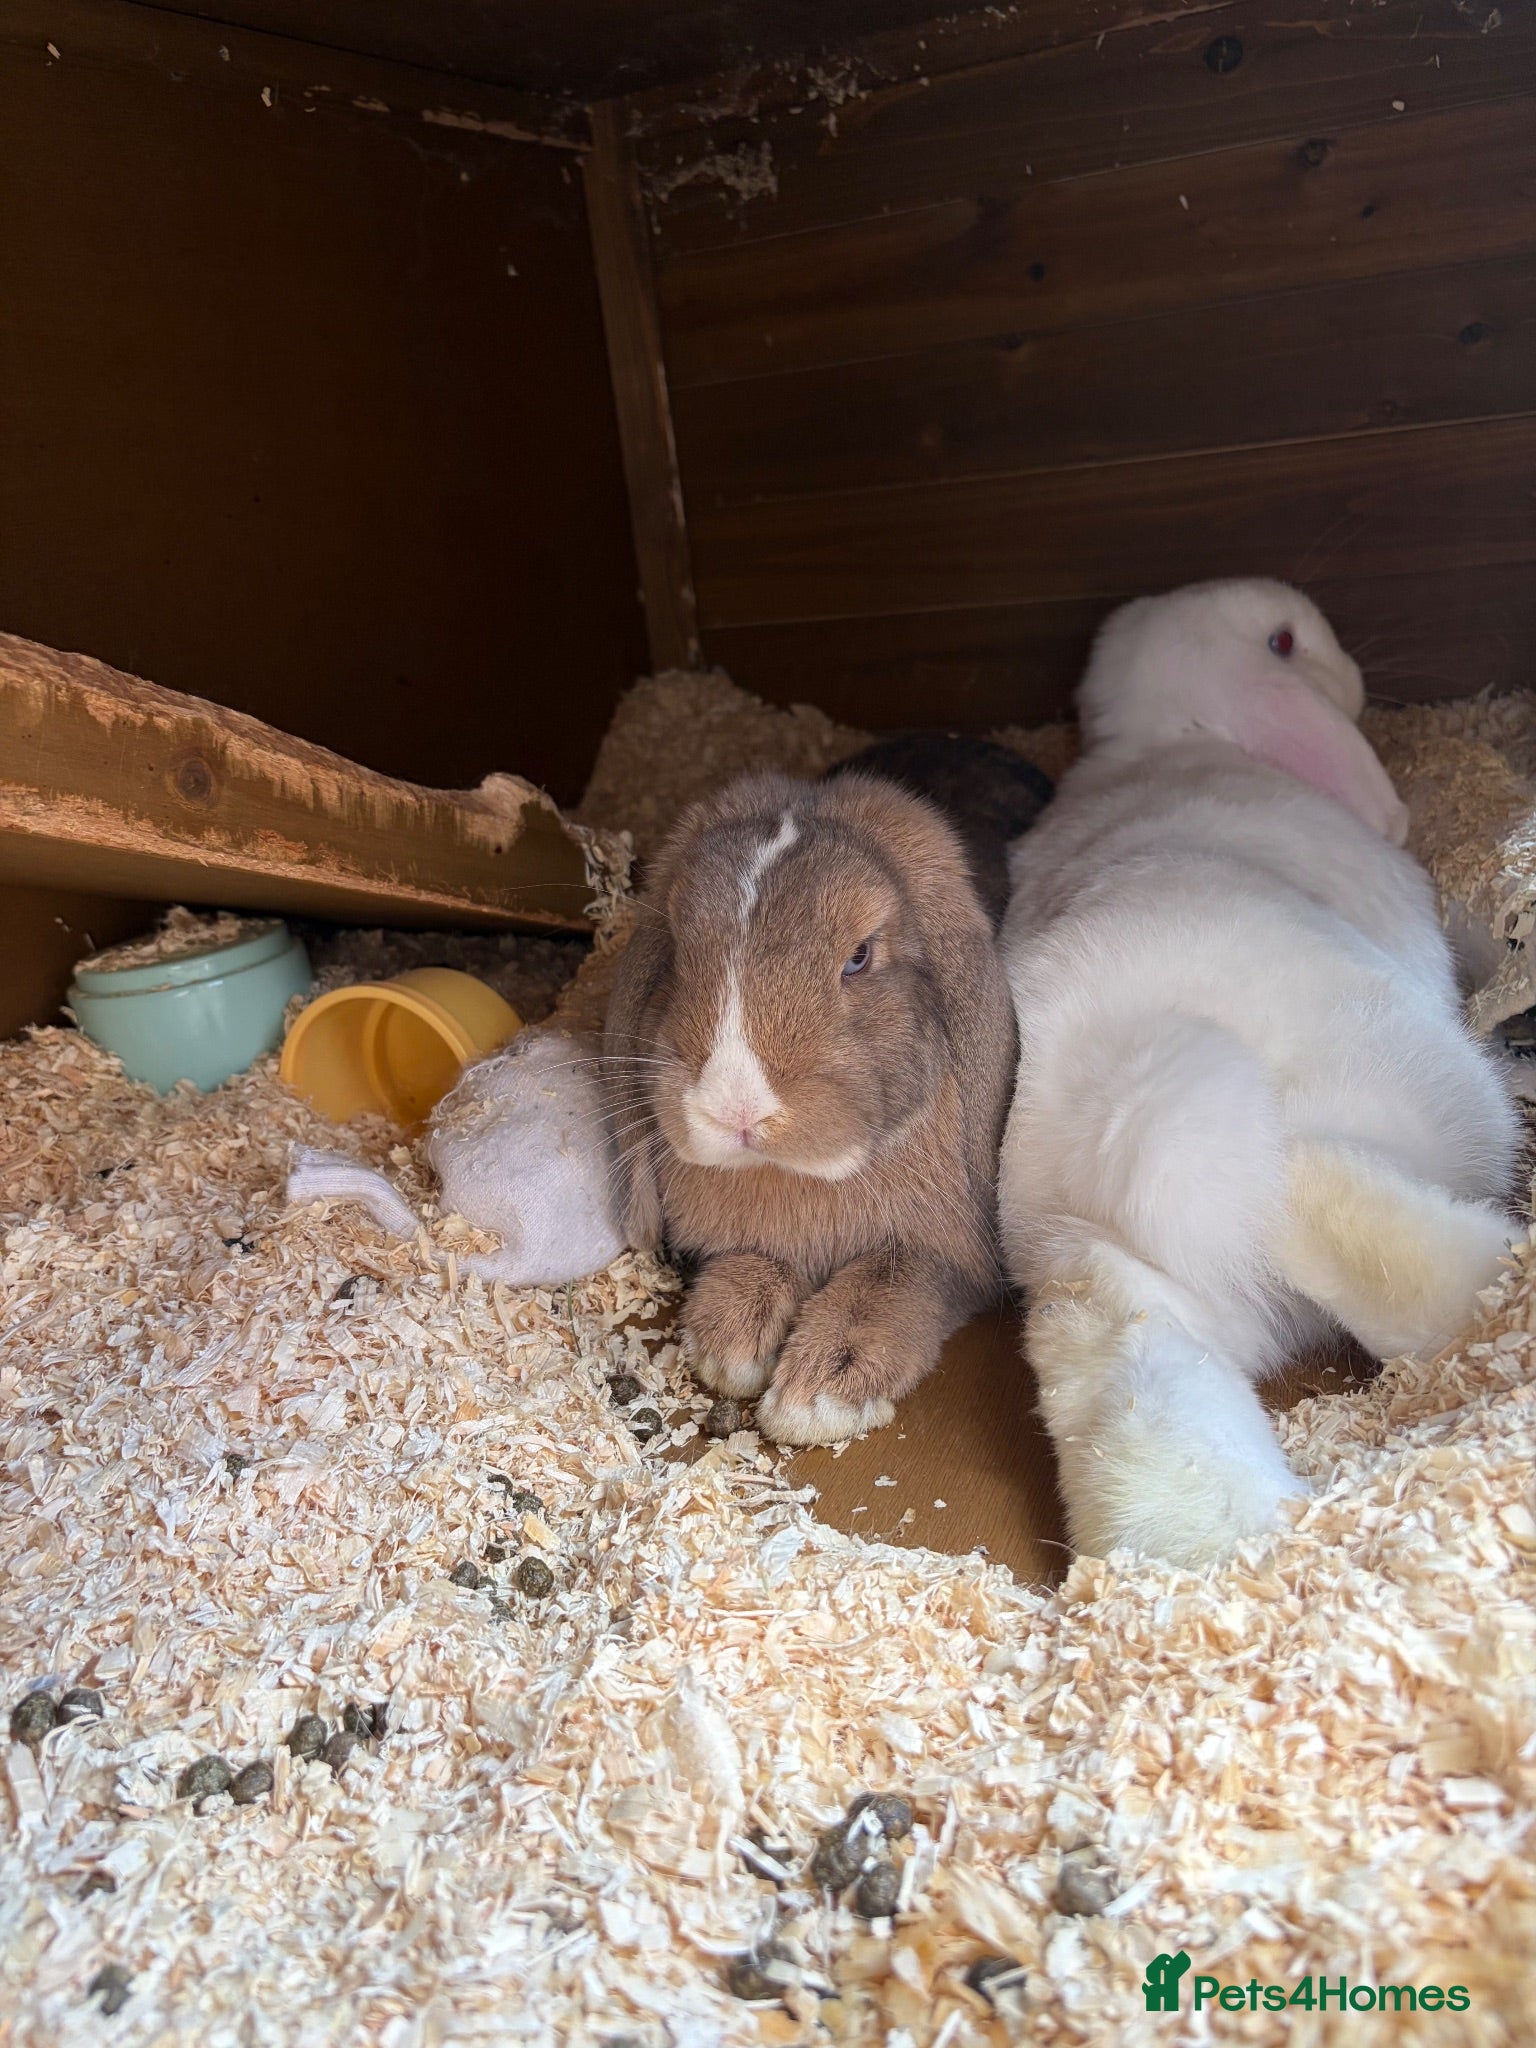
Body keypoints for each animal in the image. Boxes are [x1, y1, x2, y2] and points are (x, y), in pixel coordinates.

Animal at [603, 768, 1017, 1444]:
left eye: (859, 956)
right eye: (680, 951)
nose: (737, 1108)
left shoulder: (939, 1259)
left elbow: (889, 1291)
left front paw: (817, 1398)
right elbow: (755, 1261)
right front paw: (729, 1347)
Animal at [996, 577, 1522, 1569]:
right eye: (1285, 641)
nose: (1352, 673)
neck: (1171, 732)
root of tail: (1152, 1125)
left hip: (1097, 1278)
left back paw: (1220, 1545)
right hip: (1431, 1111)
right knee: (1425, 1266)